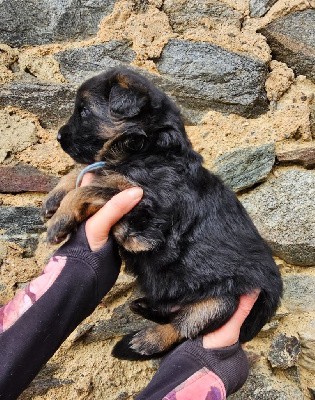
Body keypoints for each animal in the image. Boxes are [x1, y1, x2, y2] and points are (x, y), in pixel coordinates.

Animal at [42, 67, 284, 360]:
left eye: (84, 111)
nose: (58, 137)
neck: (148, 147)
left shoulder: (145, 201)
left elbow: (89, 187)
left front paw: (59, 222)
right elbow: (87, 173)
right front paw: (54, 198)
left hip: (223, 300)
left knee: (184, 327)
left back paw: (146, 340)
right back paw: (144, 306)